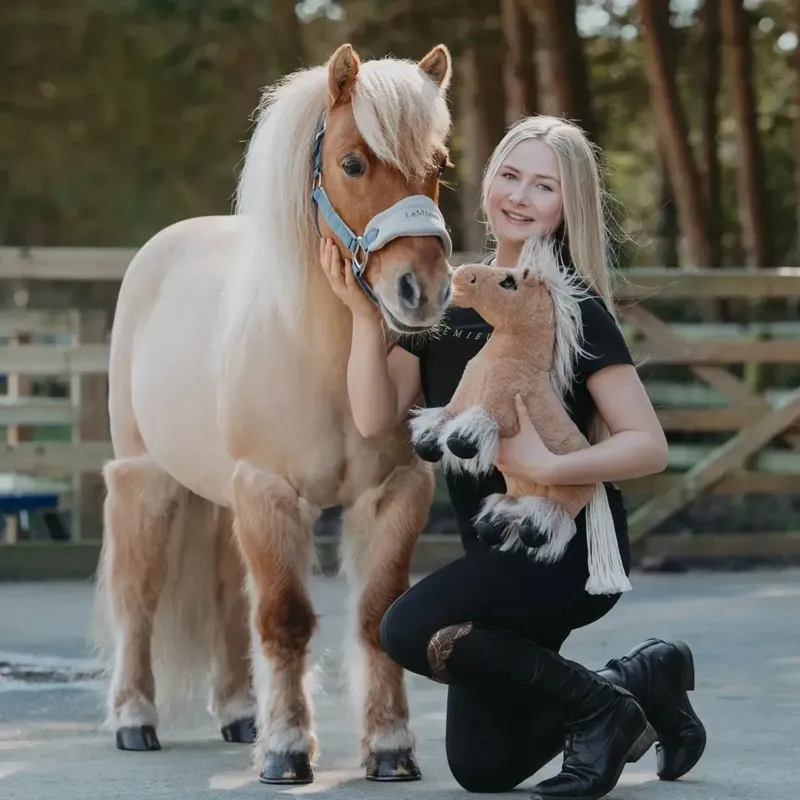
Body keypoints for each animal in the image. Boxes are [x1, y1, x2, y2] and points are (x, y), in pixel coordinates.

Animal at [91, 42, 455, 785]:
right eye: (352, 162)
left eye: (440, 164)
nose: (424, 291)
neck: (324, 358)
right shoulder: (270, 490)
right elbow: (285, 618)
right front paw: (287, 751)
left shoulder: (394, 490)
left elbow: (376, 613)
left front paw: (391, 748)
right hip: (149, 480)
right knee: (138, 597)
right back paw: (135, 720)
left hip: (222, 498)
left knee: (229, 597)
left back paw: (238, 714)